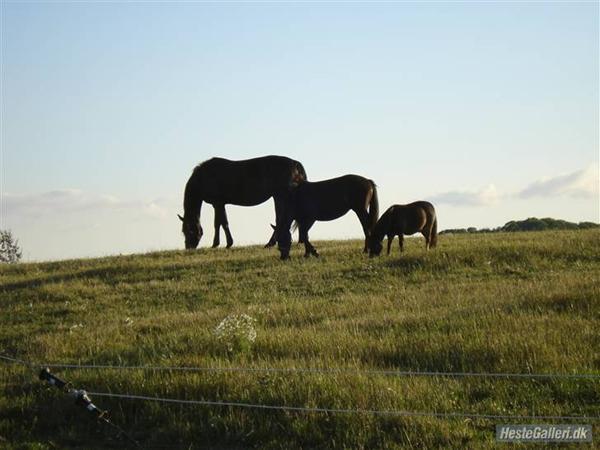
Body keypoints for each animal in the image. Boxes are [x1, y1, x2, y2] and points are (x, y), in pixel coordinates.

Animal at [179, 156, 308, 256]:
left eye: (190, 231)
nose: (188, 248)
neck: (204, 177)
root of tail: (295, 163)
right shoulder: (218, 204)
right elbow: (220, 223)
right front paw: (220, 244)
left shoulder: (218, 203)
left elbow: (221, 223)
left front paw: (224, 244)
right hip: (280, 197)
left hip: (281, 196)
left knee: (281, 219)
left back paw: (270, 243)